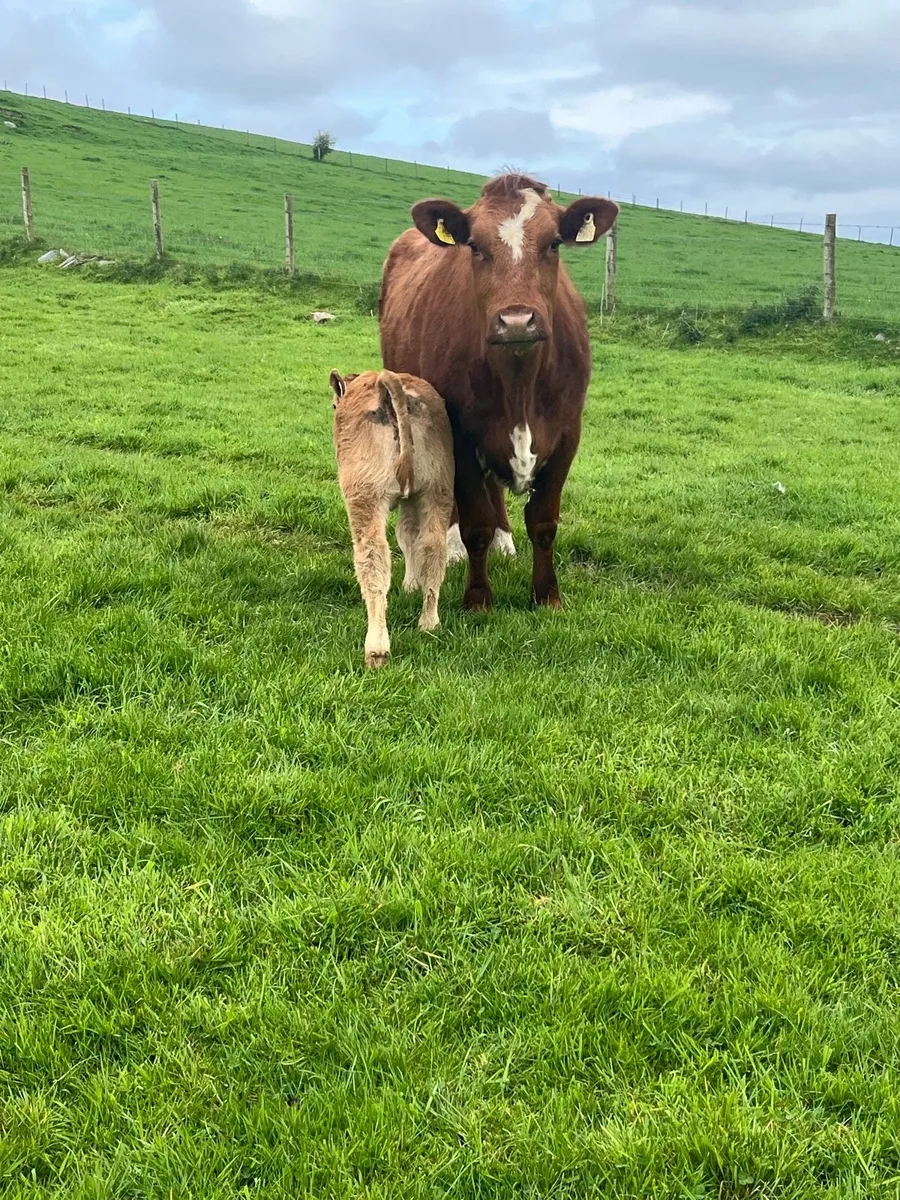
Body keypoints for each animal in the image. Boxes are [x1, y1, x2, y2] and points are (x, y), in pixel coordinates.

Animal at [330, 368, 454, 667]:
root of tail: (384, 380)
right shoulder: (412, 500)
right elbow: (408, 535)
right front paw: (411, 584)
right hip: (438, 490)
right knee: (433, 547)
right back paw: (429, 622)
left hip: (365, 497)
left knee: (373, 558)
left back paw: (376, 649)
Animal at [380, 174, 618, 611]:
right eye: (474, 245)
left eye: (554, 243)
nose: (517, 320)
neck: (519, 383)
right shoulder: (459, 433)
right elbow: (476, 524)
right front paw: (478, 599)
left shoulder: (567, 434)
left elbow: (543, 522)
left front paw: (547, 595)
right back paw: (452, 547)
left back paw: (505, 541)